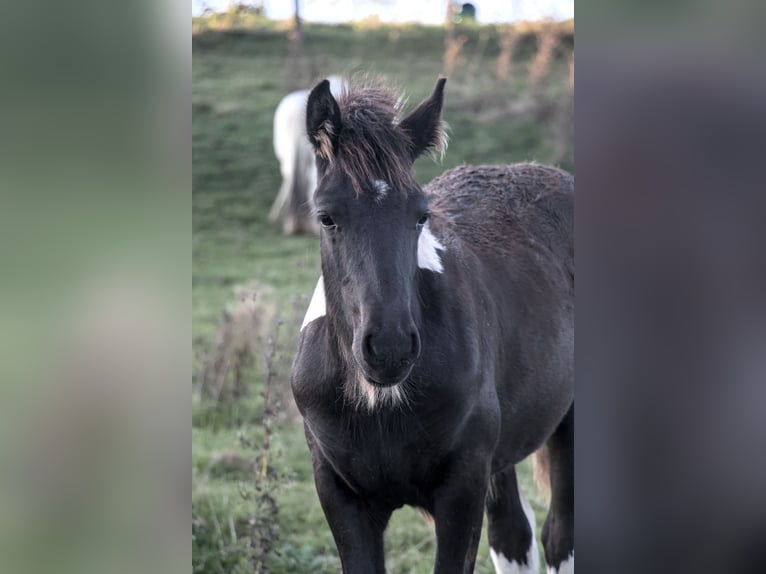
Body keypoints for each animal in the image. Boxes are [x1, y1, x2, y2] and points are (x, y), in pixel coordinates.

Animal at [294, 77, 576, 574]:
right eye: (327, 217)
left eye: (420, 215)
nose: (389, 347)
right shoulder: (340, 494)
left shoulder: (462, 489)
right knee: (513, 535)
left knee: (560, 536)